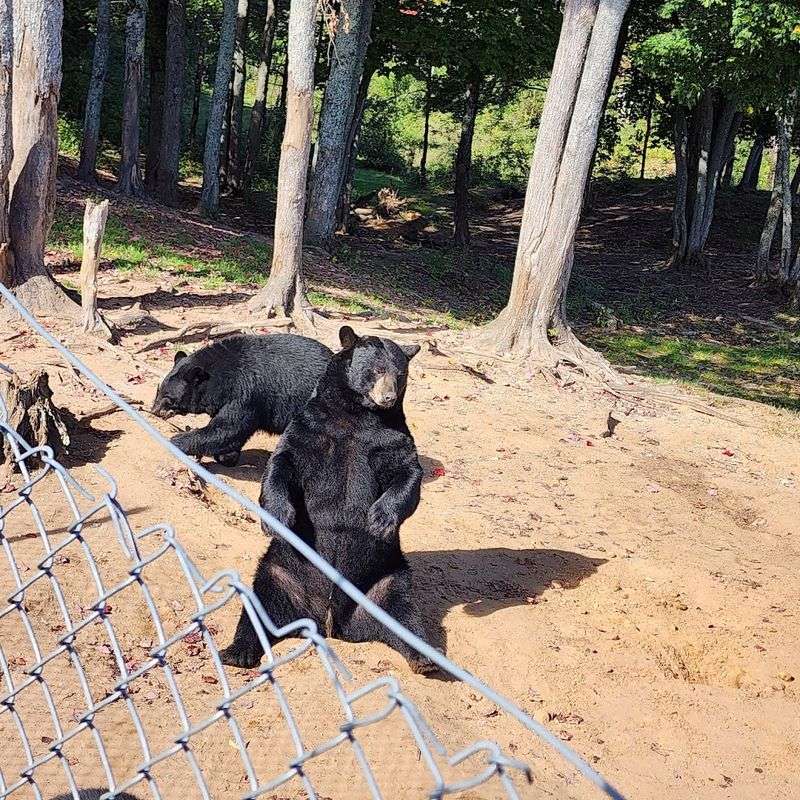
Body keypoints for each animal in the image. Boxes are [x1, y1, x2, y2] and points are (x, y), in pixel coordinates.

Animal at [152, 334, 332, 466]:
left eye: (168, 397)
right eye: (159, 391)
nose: (154, 410)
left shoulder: (246, 392)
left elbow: (229, 427)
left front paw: (177, 440)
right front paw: (228, 456)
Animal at [219, 325, 437, 674]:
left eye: (400, 374)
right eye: (376, 370)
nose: (388, 397)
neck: (357, 415)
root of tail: (330, 622)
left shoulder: (391, 437)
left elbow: (407, 474)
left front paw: (379, 520)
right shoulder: (310, 430)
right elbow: (282, 464)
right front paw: (278, 518)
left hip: (387, 581)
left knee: (406, 616)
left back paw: (425, 657)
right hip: (282, 574)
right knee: (259, 605)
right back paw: (238, 651)